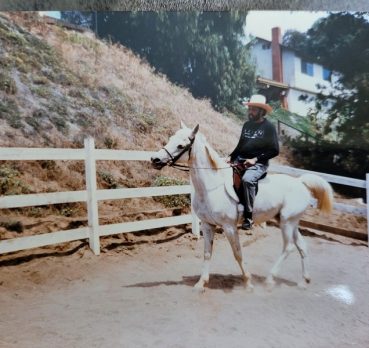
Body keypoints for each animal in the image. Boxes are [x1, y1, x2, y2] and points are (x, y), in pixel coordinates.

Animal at [150, 122, 334, 290]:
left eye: (181, 145)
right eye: (170, 139)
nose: (155, 159)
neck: (211, 186)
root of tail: (300, 182)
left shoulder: (229, 227)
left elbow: (237, 253)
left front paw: (248, 281)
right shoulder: (208, 225)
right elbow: (207, 254)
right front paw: (201, 283)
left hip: (287, 222)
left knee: (288, 248)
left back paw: (270, 279)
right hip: (290, 222)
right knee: (301, 246)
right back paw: (304, 281)